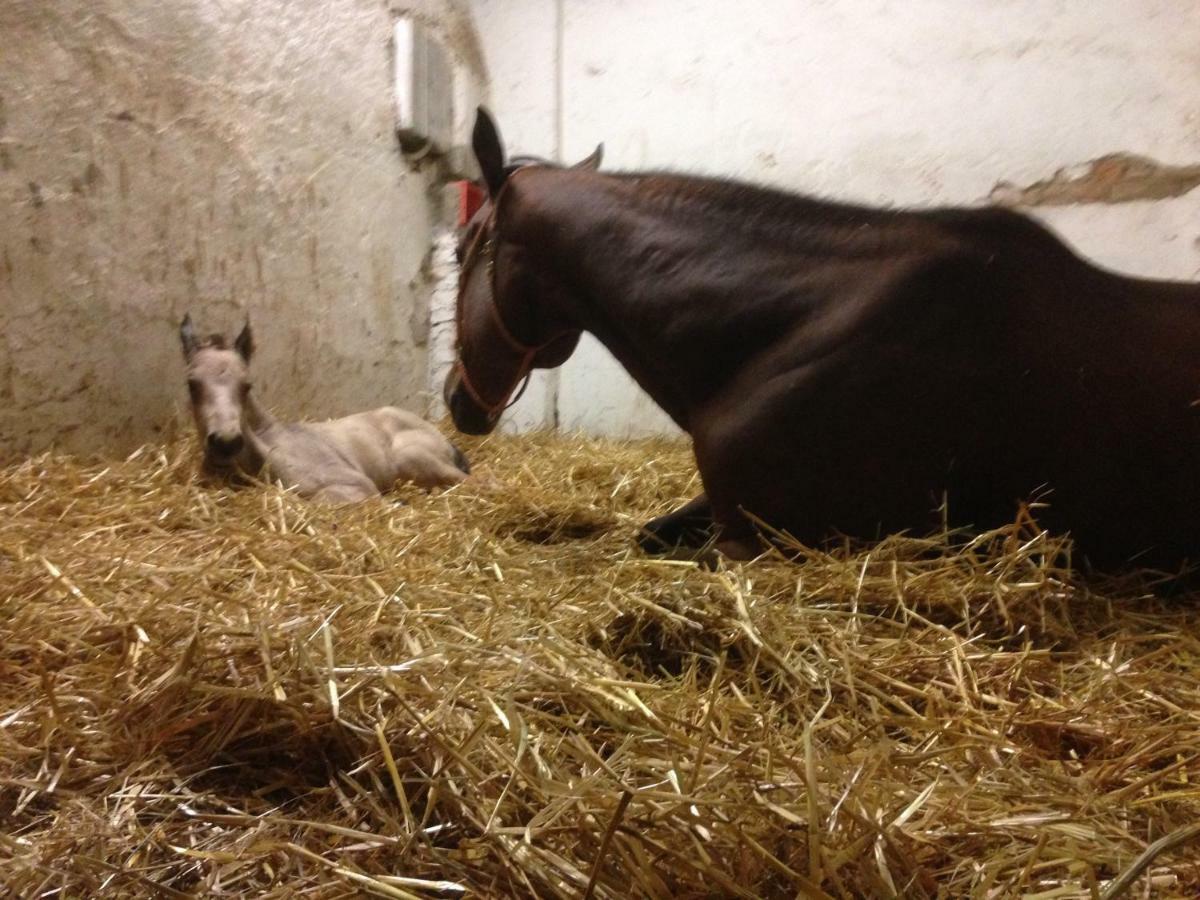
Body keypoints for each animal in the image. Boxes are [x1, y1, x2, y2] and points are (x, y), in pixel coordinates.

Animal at [177, 314, 468, 501]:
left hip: (409, 457)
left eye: (246, 385)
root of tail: (444, 439)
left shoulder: (356, 483)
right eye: (191, 384)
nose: (225, 442)